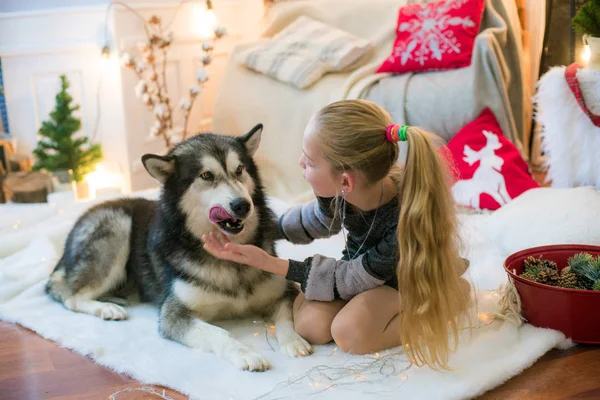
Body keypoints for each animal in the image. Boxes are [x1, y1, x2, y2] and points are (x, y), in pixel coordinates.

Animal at [44, 125, 312, 372]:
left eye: (239, 170)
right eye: (206, 175)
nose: (242, 205)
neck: (230, 263)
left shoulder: (284, 290)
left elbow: (287, 317)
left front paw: (294, 341)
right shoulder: (174, 315)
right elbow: (219, 333)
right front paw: (246, 354)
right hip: (117, 226)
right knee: (72, 297)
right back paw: (107, 308)